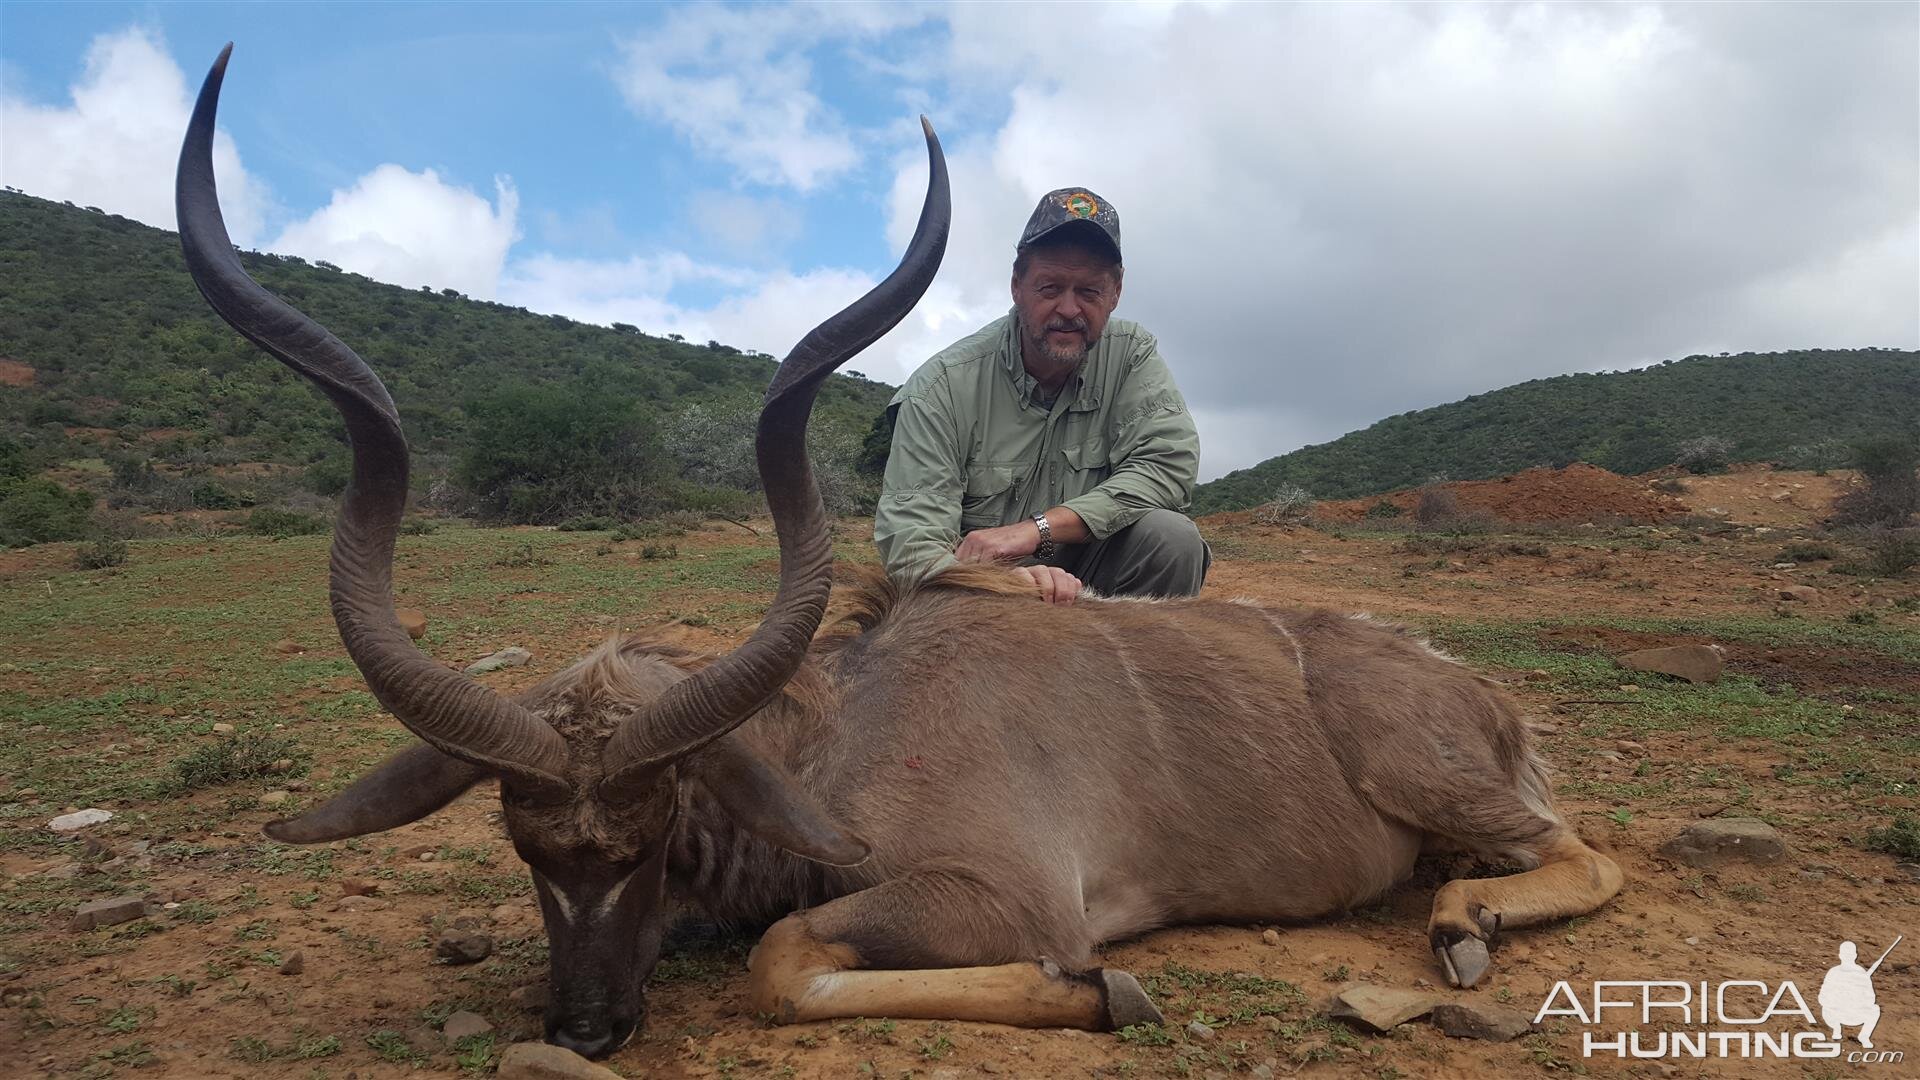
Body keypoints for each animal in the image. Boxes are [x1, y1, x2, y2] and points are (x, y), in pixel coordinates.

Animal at [180, 48, 1620, 1060]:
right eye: (528, 849)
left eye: (651, 835)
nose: (585, 1029)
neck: (840, 733)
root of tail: (1480, 697)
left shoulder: (1004, 894)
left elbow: (784, 959)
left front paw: (1110, 991)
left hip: (1436, 782)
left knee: (1584, 853)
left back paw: (1462, 927)